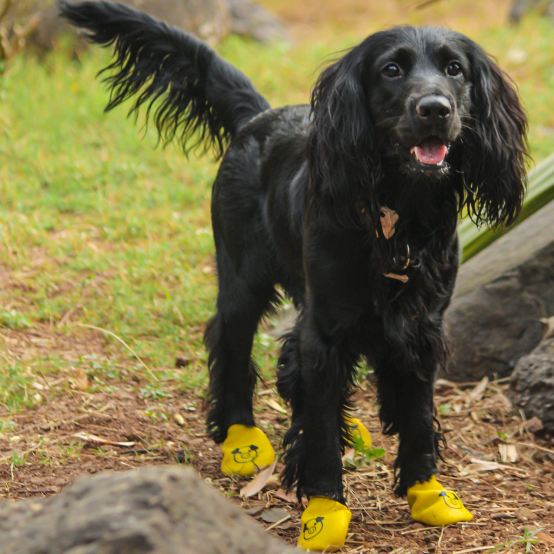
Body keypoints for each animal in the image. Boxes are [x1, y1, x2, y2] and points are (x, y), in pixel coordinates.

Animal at [60, 0, 528, 536]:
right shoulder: (326, 331)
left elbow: (416, 414)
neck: (398, 218)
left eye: (455, 69)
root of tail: (258, 117)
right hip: (242, 281)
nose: (435, 109)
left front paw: (425, 490)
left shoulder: (421, 327)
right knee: (230, 344)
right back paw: (240, 437)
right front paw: (325, 508)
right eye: (391, 70)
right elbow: (322, 424)